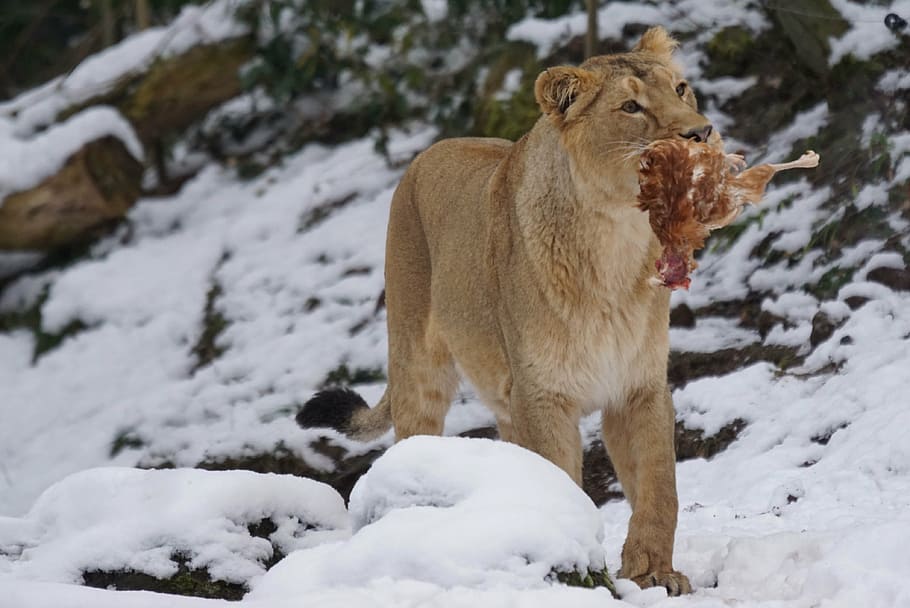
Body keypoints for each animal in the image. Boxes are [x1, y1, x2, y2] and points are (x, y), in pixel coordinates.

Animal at [298, 26, 720, 595]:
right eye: (631, 106)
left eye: (680, 88)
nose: (701, 133)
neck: (617, 242)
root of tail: (433, 149)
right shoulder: (542, 395)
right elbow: (564, 482)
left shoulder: (638, 386)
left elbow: (659, 488)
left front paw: (654, 573)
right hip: (418, 365)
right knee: (413, 442)